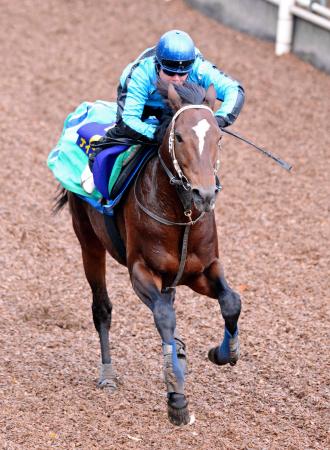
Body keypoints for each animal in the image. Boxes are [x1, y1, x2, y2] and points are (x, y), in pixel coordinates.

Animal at [53, 81, 240, 426]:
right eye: (178, 137)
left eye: (218, 138)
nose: (205, 195)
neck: (182, 215)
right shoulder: (141, 270)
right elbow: (164, 316)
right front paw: (177, 398)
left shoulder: (202, 270)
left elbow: (232, 301)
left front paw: (224, 353)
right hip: (89, 242)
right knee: (102, 308)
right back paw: (108, 374)